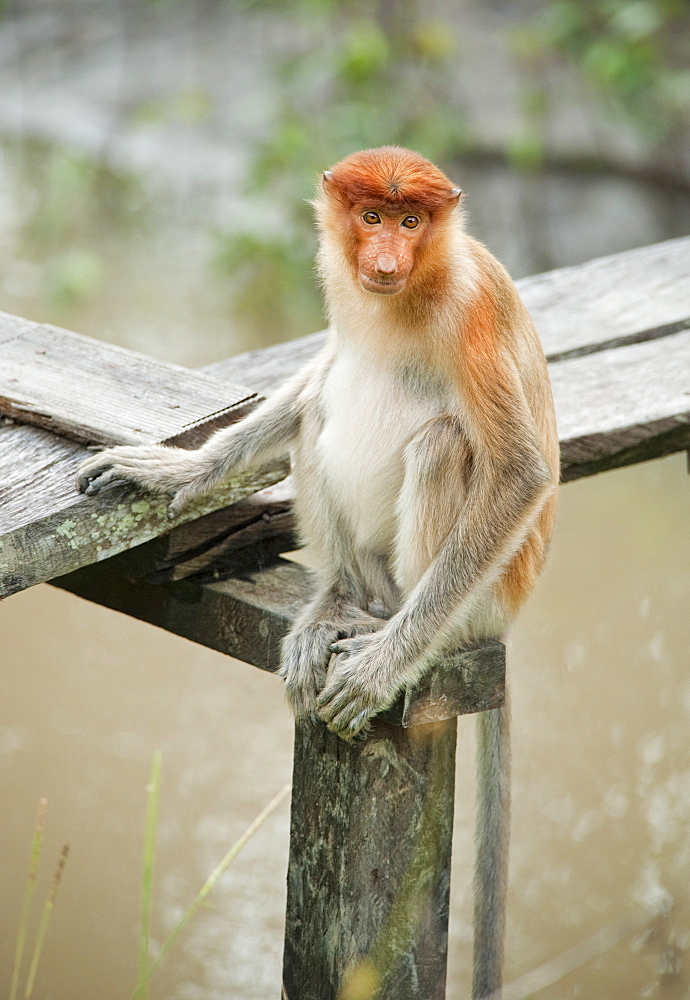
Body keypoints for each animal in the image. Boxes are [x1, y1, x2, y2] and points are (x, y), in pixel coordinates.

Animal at [76, 145, 560, 996]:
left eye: (411, 221)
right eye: (371, 217)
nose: (386, 259)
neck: (415, 291)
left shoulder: (470, 308)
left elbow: (520, 472)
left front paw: (379, 671)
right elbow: (320, 372)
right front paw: (171, 471)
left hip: (481, 592)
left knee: (445, 444)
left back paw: (391, 629)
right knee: (321, 405)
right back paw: (335, 603)